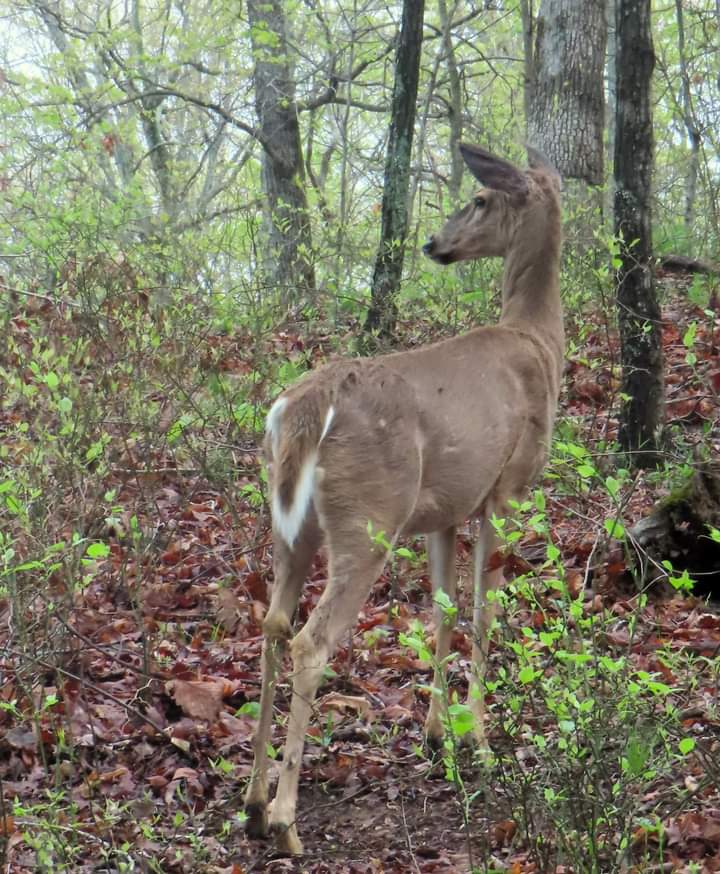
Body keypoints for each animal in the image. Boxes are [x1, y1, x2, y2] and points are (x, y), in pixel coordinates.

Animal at [242, 143, 564, 852]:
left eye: (477, 199)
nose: (433, 243)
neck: (538, 342)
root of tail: (302, 409)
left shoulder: (446, 508)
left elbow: (442, 611)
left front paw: (438, 734)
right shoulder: (506, 487)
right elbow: (483, 611)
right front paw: (480, 741)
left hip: (290, 524)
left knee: (273, 625)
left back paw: (251, 802)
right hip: (368, 517)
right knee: (310, 641)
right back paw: (284, 821)